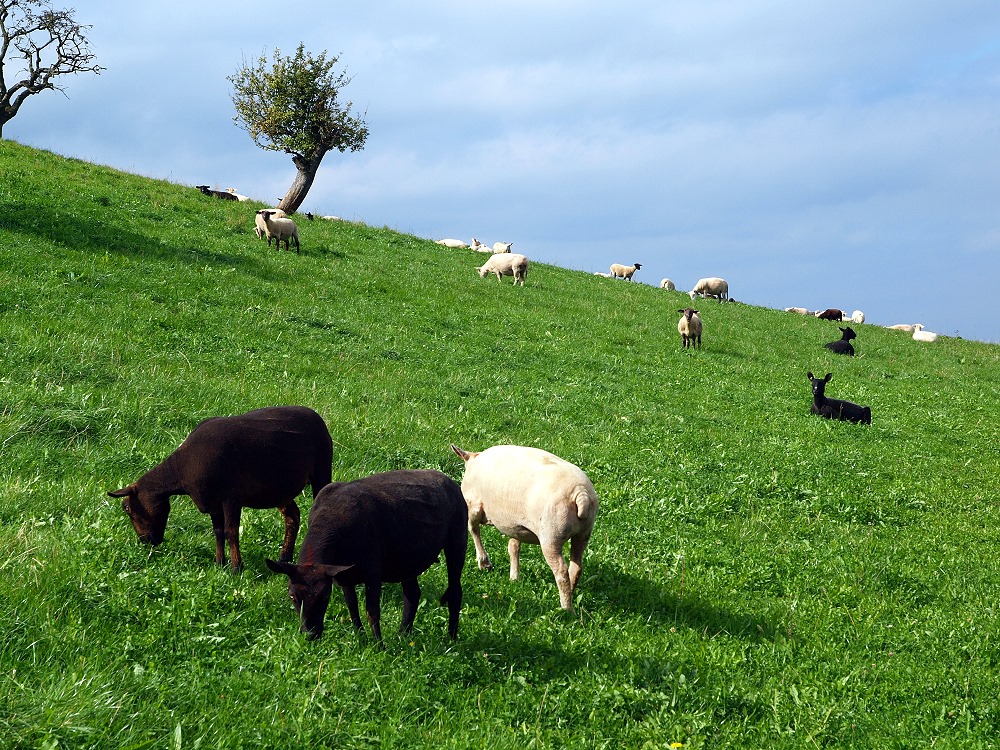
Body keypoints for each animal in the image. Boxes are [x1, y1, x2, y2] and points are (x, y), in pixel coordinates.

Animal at [110, 408, 332, 572]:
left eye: (127, 508)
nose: (146, 542)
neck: (180, 471)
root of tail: (314, 414)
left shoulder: (231, 498)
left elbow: (231, 532)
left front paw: (236, 568)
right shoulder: (212, 502)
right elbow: (218, 532)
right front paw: (219, 563)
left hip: (321, 469)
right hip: (279, 488)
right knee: (292, 516)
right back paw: (284, 557)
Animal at [266, 472, 468, 644]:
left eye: (324, 596)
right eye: (292, 596)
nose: (310, 634)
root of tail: (449, 480)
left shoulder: (373, 572)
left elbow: (372, 611)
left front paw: (379, 646)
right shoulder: (344, 574)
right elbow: (352, 607)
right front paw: (361, 638)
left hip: (457, 539)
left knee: (455, 591)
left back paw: (451, 638)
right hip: (406, 559)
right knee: (412, 593)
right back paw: (403, 634)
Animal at [450, 446, 596, 612]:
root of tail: (581, 493)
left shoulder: (473, 505)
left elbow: (473, 530)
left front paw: (484, 563)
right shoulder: (515, 525)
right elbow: (513, 546)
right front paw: (514, 577)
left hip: (551, 536)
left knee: (561, 571)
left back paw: (566, 609)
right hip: (584, 532)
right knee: (576, 567)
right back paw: (570, 593)